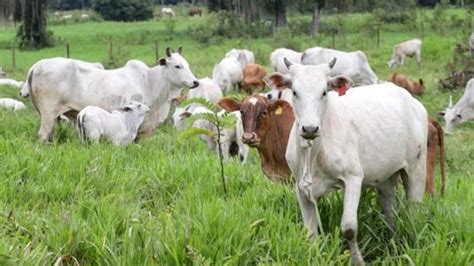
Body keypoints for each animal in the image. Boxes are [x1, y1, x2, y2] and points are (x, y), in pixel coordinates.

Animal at [23, 47, 198, 143]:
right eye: (177, 66)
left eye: (188, 65)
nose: (195, 82)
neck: (150, 81)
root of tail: (37, 65)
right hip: (48, 113)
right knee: (42, 135)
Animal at [264, 58, 428, 266]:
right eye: (294, 92)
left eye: (324, 92)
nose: (310, 128)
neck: (314, 153)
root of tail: (412, 101)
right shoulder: (300, 187)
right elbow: (310, 232)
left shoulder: (353, 178)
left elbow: (349, 228)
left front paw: (358, 261)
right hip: (385, 178)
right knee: (390, 212)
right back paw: (392, 245)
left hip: (416, 169)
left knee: (414, 211)